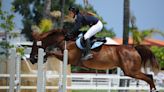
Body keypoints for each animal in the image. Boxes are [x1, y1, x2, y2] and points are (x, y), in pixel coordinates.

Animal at [29, 28, 159, 90]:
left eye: (34, 44)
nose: (31, 59)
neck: (66, 40)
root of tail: (134, 48)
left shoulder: (68, 58)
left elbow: (50, 52)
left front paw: (43, 56)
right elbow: (51, 52)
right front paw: (43, 58)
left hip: (130, 71)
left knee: (149, 78)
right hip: (131, 72)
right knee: (150, 77)